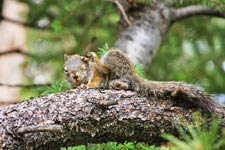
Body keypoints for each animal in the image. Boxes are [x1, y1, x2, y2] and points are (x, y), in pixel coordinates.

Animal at [64, 49, 224, 112]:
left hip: (113, 59)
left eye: (83, 65)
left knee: (109, 72)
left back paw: (97, 58)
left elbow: (95, 81)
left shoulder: (97, 75)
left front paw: (85, 87)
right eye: (65, 70)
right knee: (125, 85)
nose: (75, 76)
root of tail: (133, 73)